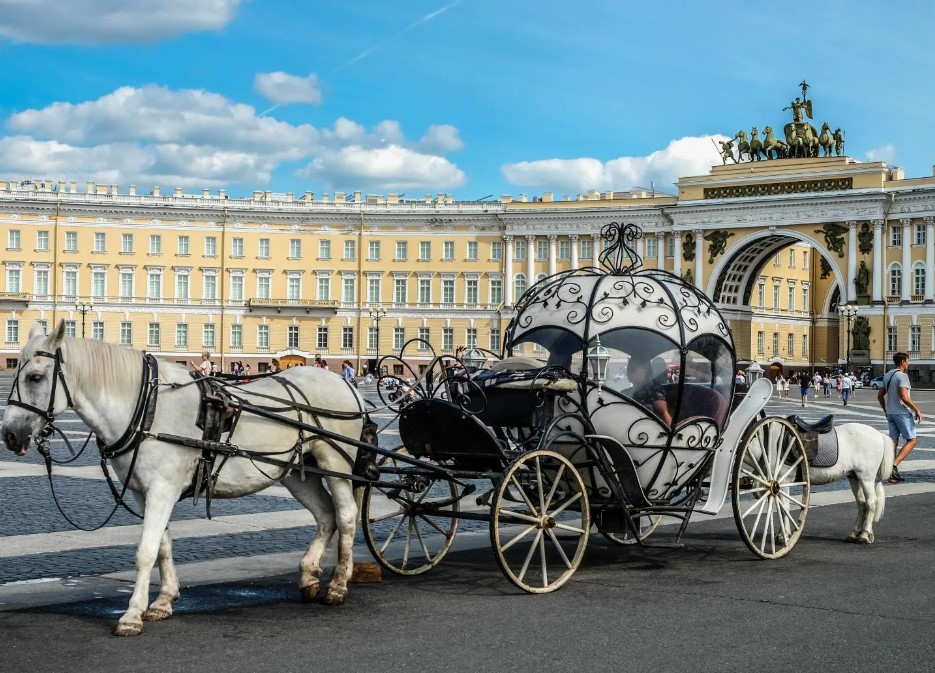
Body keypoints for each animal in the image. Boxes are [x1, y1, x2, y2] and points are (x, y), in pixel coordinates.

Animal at [3, 320, 370, 636]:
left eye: (35, 377)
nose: (9, 434)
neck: (146, 406)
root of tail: (346, 386)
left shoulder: (162, 489)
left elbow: (145, 551)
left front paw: (132, 615)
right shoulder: (144, 492)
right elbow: (163, 546)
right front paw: (163, 602)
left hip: (335, 463)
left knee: (346, 516)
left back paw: (338, 586)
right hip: (295, 471)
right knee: (325, 515)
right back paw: (308, 577)